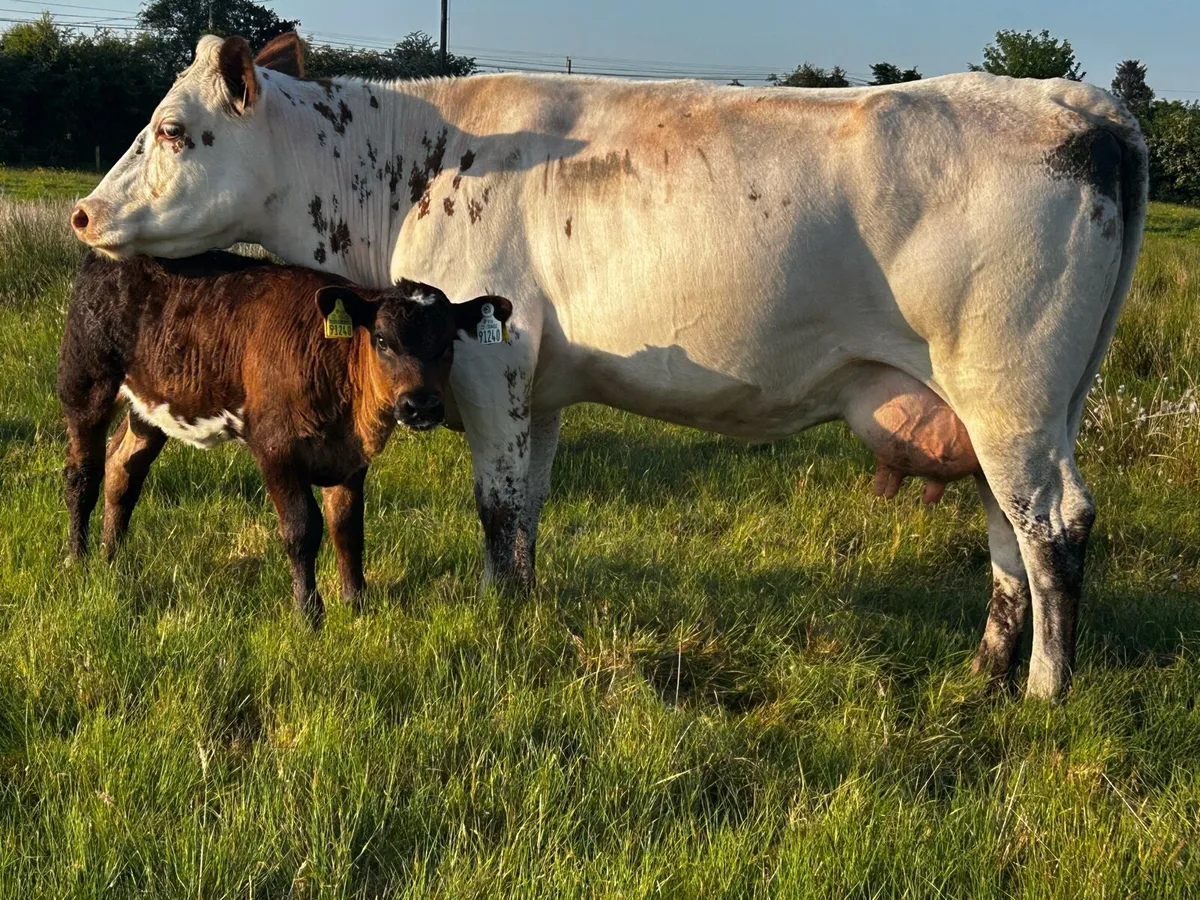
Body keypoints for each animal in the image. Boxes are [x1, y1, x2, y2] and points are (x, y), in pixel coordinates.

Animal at [57, 249, 510, 624]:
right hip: (85, 382)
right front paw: (308, 614)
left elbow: (347, 526)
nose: (421, 405)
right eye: (382, 339)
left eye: (449, 342)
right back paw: (79, 560)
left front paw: (356, 603)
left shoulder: (351, 460)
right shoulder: (275, 448)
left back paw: (112, 557)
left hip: (149, 406)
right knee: (83, 475)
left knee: (123, 470)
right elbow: (301, 529)